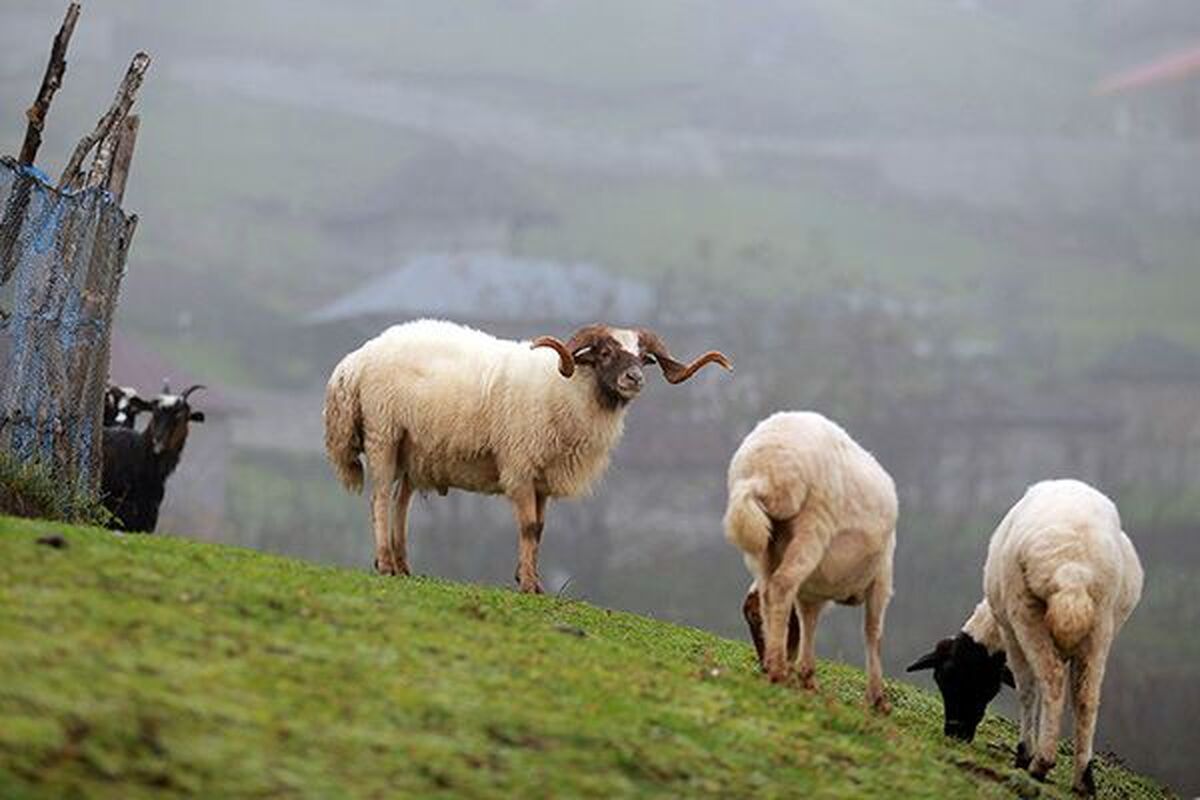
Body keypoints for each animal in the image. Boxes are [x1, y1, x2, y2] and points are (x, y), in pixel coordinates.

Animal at [324, 316, 729, 592]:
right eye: (604, 352)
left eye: (646, 359)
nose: (634, 380)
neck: (568, 389)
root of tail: (355, 361)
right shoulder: (519, 466)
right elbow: (529, 526)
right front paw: (529, 585)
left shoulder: (543, 479)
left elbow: (541, 529)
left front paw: (530, 579)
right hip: (383, 434)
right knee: (379, 498)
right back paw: (385, 564)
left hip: (411, 448)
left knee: (399, 501)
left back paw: (403, 565)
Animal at [724, 410, 897, 710]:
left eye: (753, 620)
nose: (759, 664)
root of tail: (764, 471)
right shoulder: (882, 575)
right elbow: (873, 632)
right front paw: (877, 699)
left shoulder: (812, 591)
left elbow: (808, 621)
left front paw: (807, 677)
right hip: (814, 526)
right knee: (782, 584)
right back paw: (777, 669)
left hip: (764, 545)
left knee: (769, 591)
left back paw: (775, 666)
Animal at [907, 479, 1142, 796]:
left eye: (945, 678)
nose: (955, 733)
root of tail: (1073, 567)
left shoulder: (1009, 634)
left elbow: (1028, 687)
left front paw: (1024, 754)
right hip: (1102, 624)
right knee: (1086, 697)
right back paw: (1083, 780)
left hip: (1025, 613)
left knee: (1050, 681)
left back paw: (1039, 762)